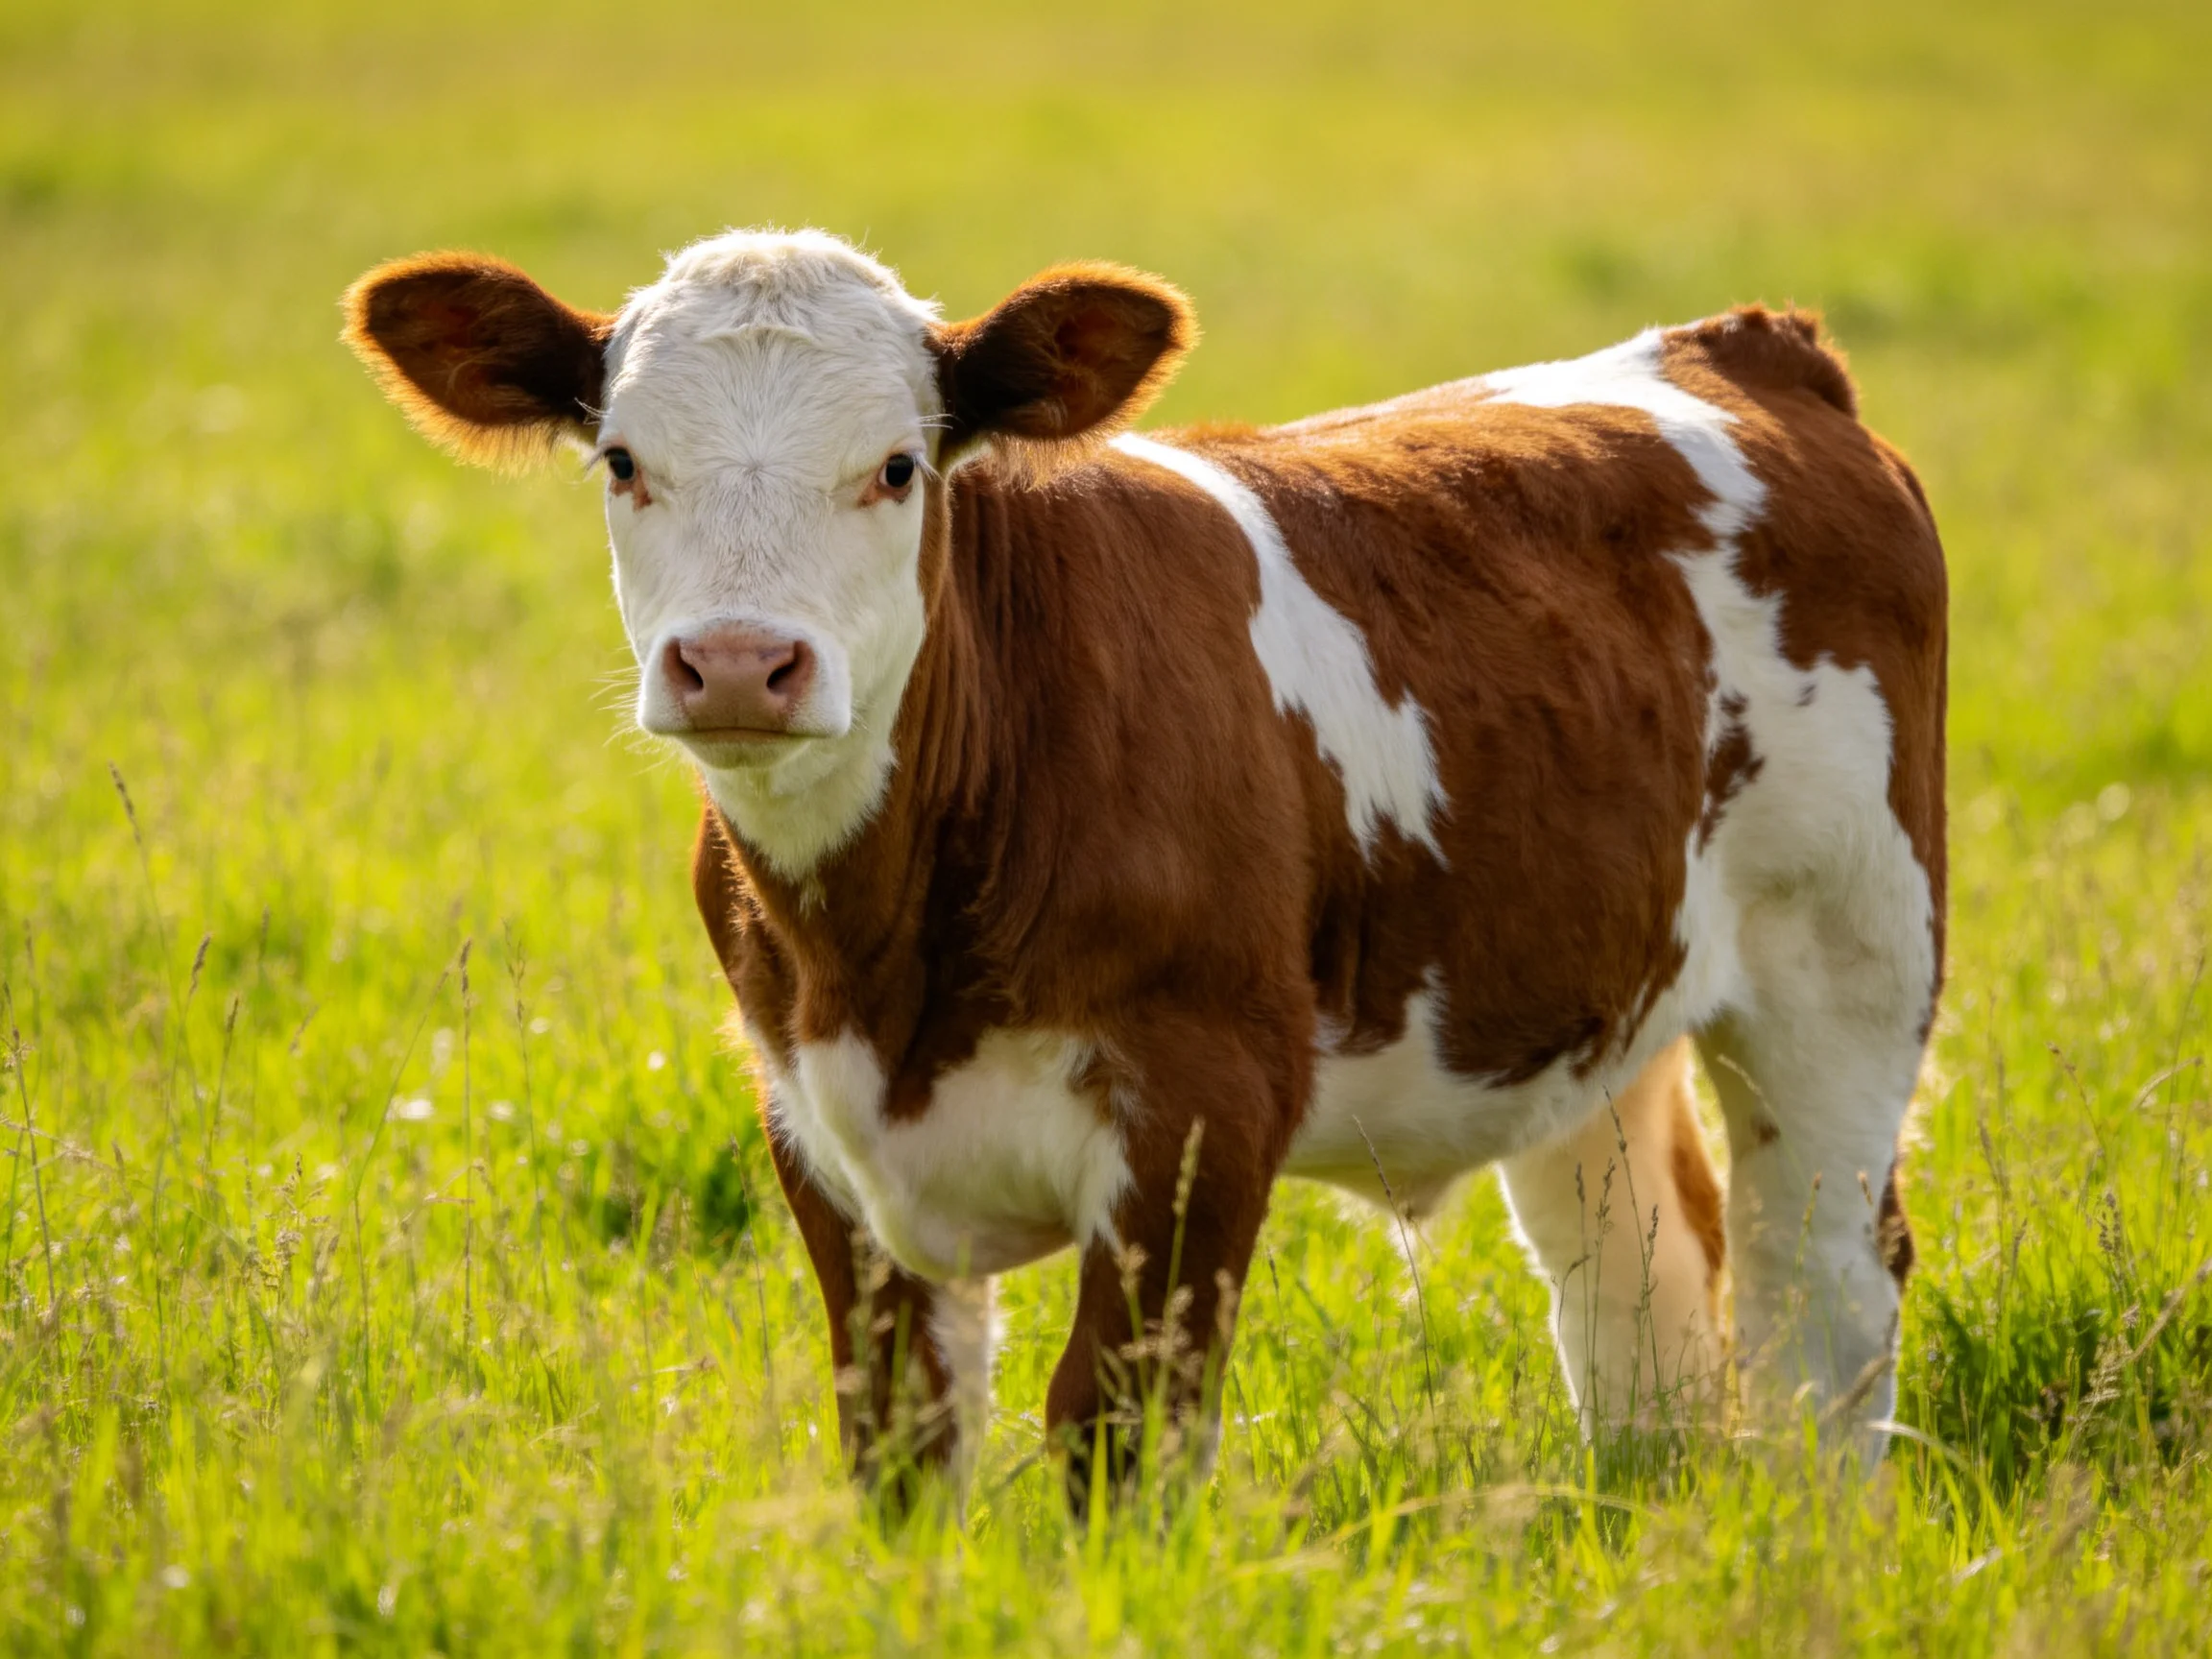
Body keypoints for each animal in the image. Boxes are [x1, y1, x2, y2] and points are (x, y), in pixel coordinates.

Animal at [343, 228, 1945, 1509]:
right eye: (623, 461)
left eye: (897, 468)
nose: (739, 662)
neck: (886, 956)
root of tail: (1742, 346)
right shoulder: (809, 1116)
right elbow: (900, 1436)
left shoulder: (1202, 1105)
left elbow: (1110, 1433)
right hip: (1589, 1004)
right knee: (1632, 1281)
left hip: (1847, 963)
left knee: (1824, 1283)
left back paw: (1807, 1540)